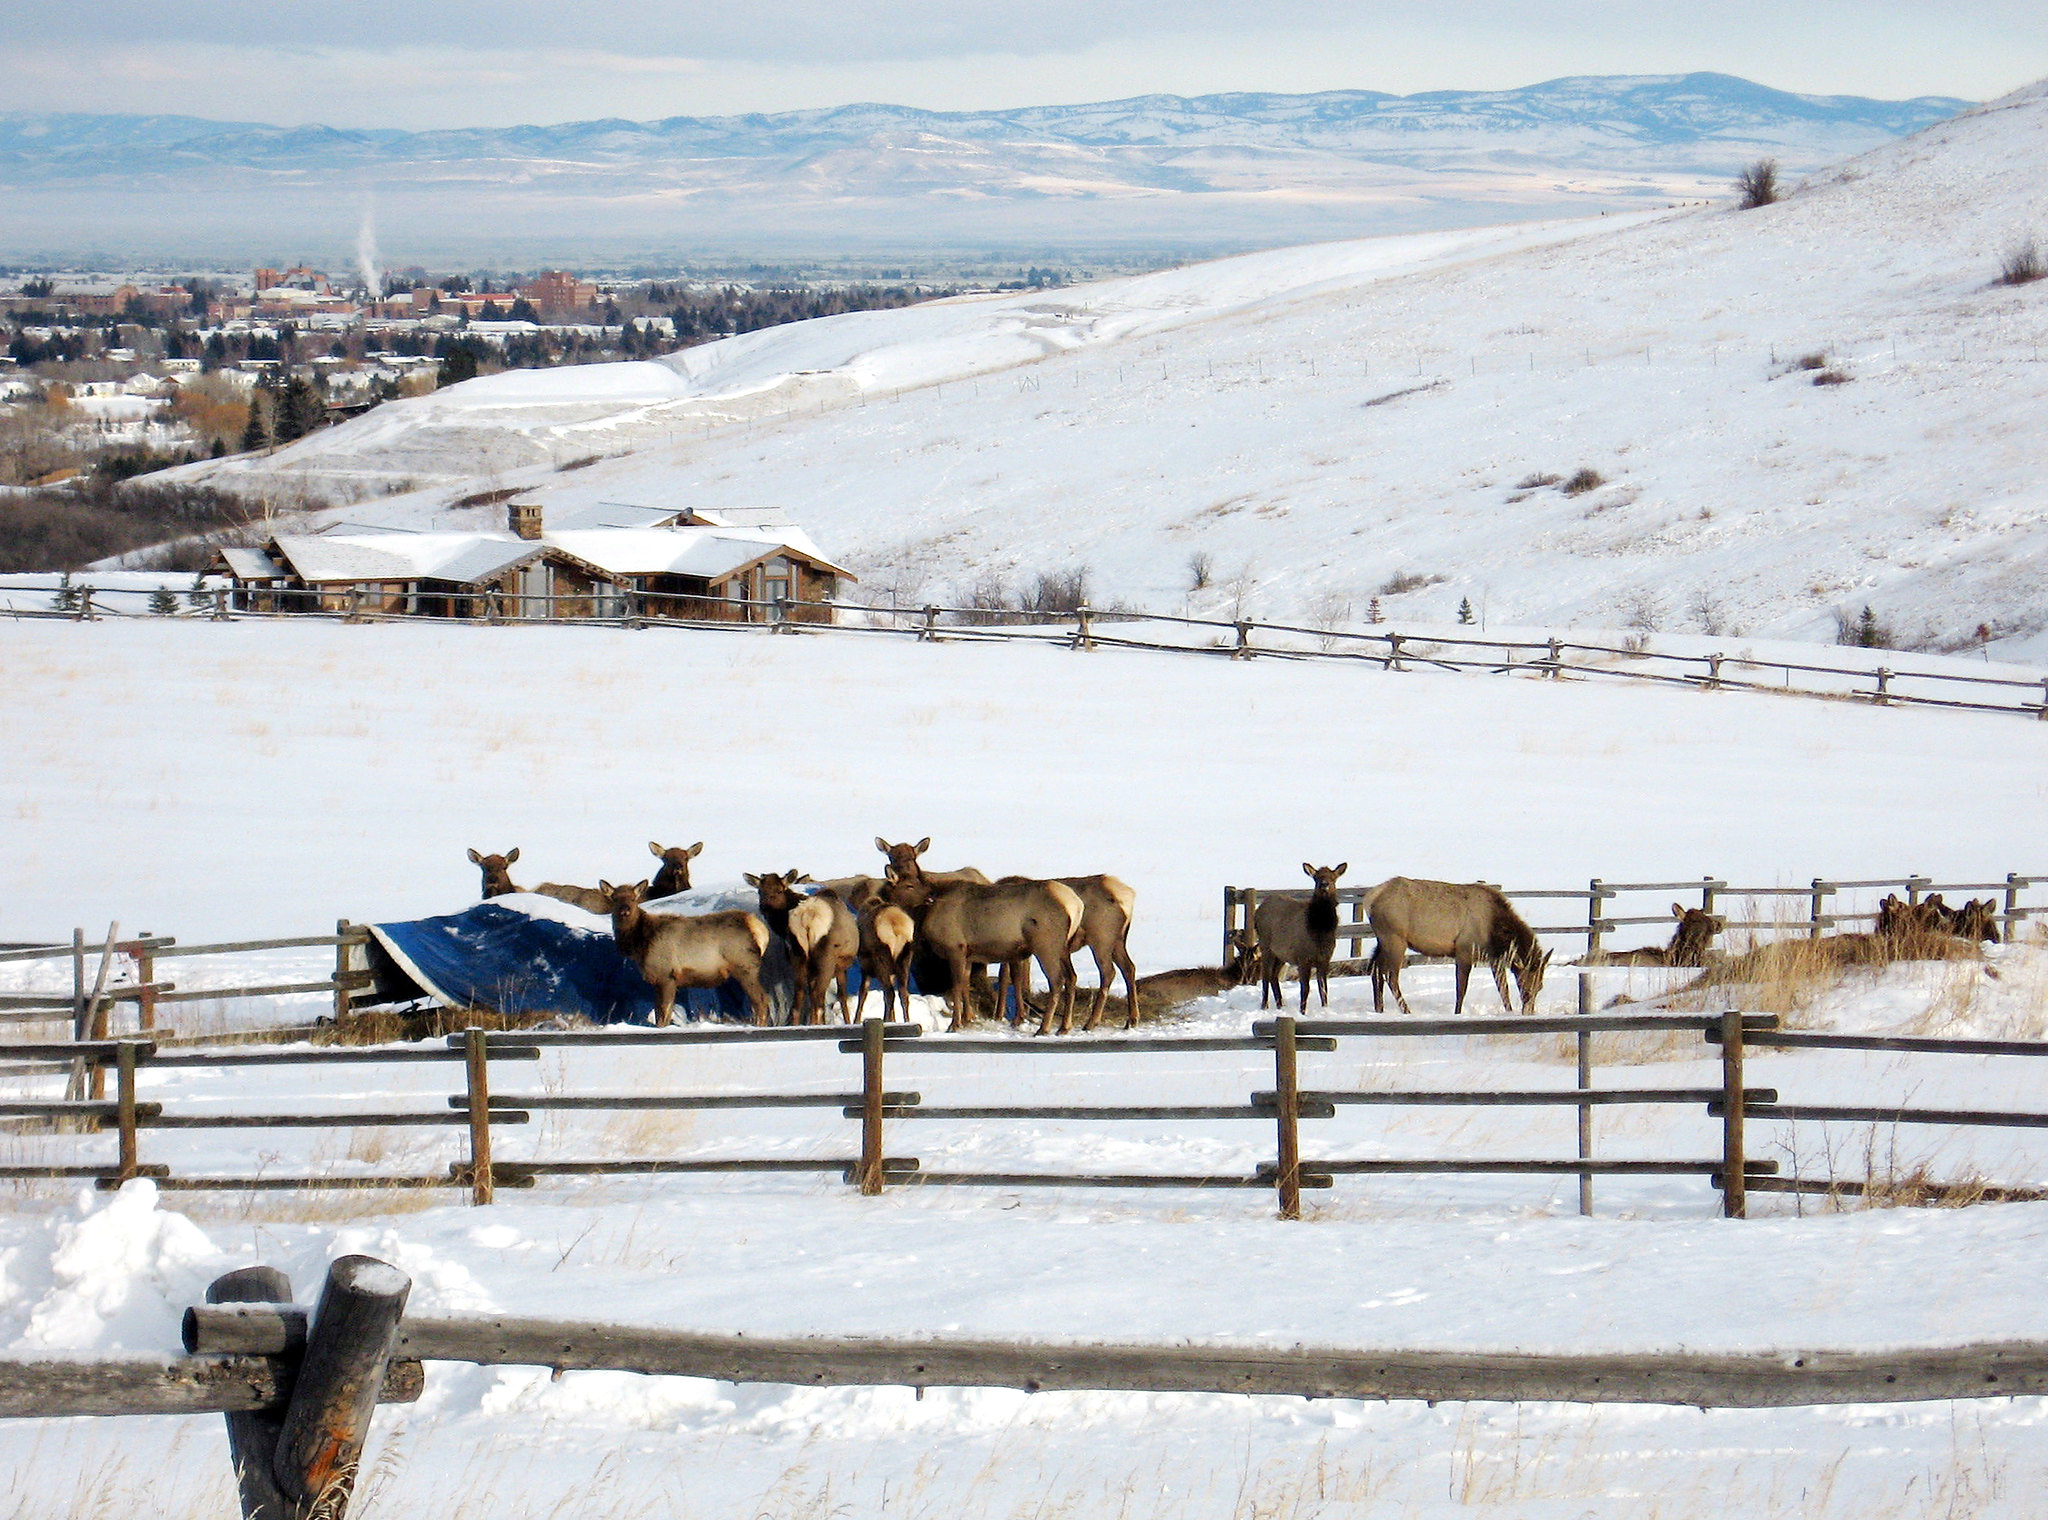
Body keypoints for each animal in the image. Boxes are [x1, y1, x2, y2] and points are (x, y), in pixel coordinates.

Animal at [596, 879, 771, 1026]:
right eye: (614, 899)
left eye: (633, 899)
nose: (625, 910)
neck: (639, 944)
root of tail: (759, 928)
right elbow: (661, 1012)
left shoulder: (667, 975)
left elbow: (663, 1013)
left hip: (745, 966)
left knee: (761, 1000)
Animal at [884, 870, 1081, 1034]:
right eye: (909, 885)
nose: (929, 897)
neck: (924, 916)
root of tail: (1074, 904)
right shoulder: (968, 953)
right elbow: (965, 984)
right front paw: (967, 1019)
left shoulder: (955, 947)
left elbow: (956, 986)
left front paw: (954, 1024)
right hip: (1064, 947)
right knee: (1072, 977)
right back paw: (1064, 1027)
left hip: (1046, 945)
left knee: (1057, 980)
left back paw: (1044, 1028)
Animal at [1253, 863, 1347, 1013]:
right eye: (1316, 878)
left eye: (1333, 878)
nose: (1324, 884)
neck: (1320, 932)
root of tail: (1257, 912)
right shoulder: (1303, 958)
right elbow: (1305, 989)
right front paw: (1302, 1012)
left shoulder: (1325, 959)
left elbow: (1324, 989)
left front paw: (1325, 1008)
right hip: (1265, 945)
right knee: (1265, 976)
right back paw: (1265, 1006)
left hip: (1280, 954)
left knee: (1273, 976)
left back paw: (1280, 1005)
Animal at [1368, 877, 1552, 1017]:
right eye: (1525, 987)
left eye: (1540, 987)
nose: (1529, 1012)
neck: (1496, 933)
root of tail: (1371, 898)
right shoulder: (1464, 950)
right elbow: (1461, 988)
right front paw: (1457, 1013)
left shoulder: (1494, 959)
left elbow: (1503, 988)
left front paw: (1509, 1011)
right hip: (1395, 938)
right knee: (1390, 974)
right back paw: (1406, 1010)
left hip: (1382, 940)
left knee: (1375, 970)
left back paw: (1379, 1009)